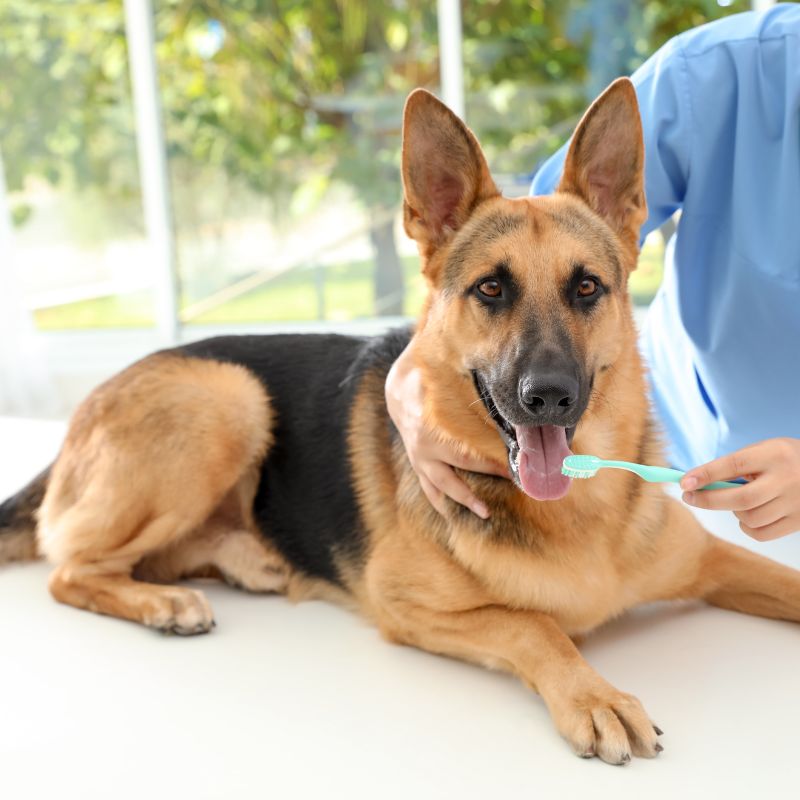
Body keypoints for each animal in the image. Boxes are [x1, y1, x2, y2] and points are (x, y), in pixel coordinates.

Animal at [1, 79, 800, 764]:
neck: (579, 512)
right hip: (227, 398)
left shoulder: (712, 559)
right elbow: (534, 623)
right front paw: (593, 695)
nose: (548, 397)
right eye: (491, 289)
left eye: (586, 288)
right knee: (70, 568)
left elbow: (783, 579)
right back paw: (163, 602)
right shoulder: (406, 604)